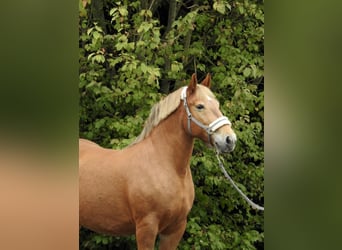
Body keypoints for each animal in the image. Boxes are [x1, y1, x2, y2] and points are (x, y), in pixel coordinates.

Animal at [79, 73, 236, 249]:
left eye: (217, 104)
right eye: (200, 106)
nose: (230, 139)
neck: (168, 167)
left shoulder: (176, 228)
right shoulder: (146, 228)